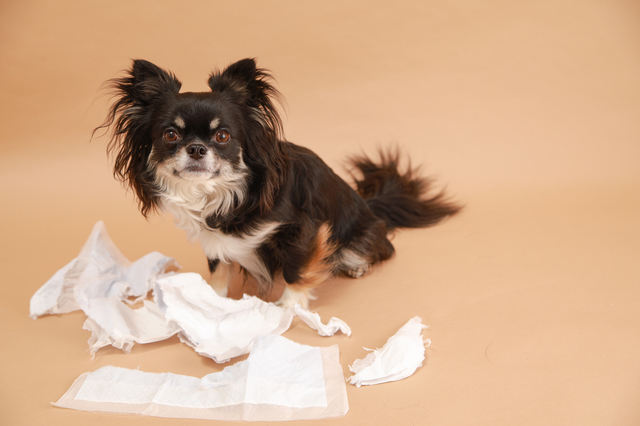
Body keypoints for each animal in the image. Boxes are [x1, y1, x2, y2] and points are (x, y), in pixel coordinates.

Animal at [96, 58, 460, 308]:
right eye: (170, 135)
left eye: (222, 136)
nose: (197, 148)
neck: (227, 195)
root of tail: (368, 205)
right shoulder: (213, 239)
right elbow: (219, 268)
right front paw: (211, 302)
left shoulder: (303, 230)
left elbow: (295, 271)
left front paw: (289, 308)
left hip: (359, 237)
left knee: (378, 249)